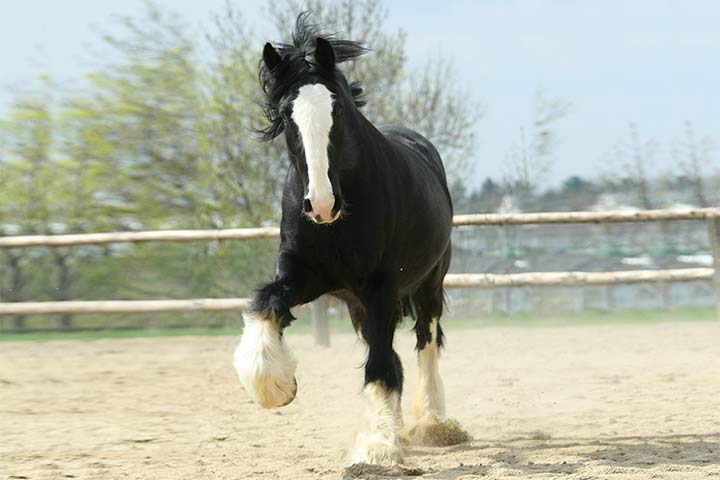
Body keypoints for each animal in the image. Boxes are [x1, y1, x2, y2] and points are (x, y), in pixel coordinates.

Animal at [233, 14, 464, 464]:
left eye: (336, 109)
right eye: (286, 114)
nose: (322, 204)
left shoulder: (382, 286)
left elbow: (381, 365)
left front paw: (378, 448)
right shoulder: (304, 276)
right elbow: (266, 303)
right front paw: (277, 386)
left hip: (429, 283)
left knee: (425, 342)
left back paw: (433, 423)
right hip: (357, 304)